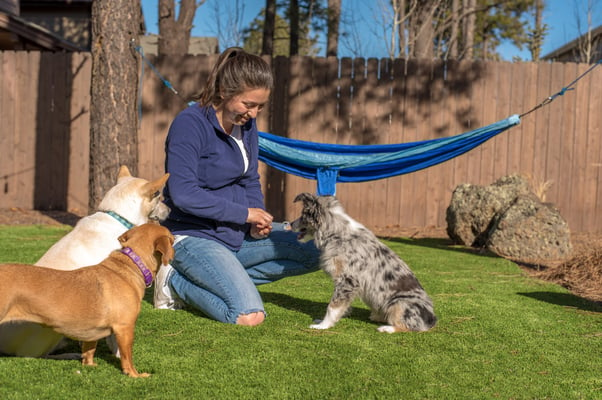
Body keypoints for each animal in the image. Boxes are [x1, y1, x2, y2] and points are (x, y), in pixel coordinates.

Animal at [0, 164, 170, 358]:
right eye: (159, 196)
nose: (170, 210)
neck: (117, 216)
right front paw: (118, 354)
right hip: (49, 330)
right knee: (34, 355)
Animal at [0, 225, 173, 378]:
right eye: (172, 239)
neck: (131, 266)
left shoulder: (93, 332)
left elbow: (89, 350)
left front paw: (89, 365)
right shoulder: (125, 328)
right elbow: (127, 357)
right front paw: (135, 375)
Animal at [288, 192, 434, 332]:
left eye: (303, 215)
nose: (290, 224)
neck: (337, 234)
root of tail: (432, 319)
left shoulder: (347, 280)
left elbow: (333, 306)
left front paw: (323, 325)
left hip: (399, 303)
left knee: (409, 326)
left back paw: (387, 328)